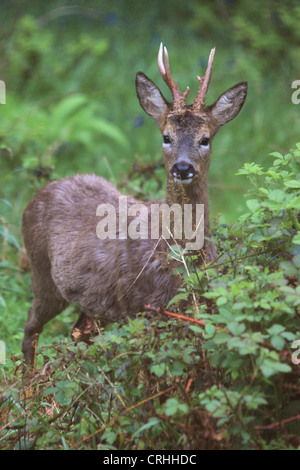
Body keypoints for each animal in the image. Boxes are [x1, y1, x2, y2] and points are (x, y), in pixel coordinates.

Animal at [20, 44, 246, 364]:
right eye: (166, 137)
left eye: (205, 139)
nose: (182, 167)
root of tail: (39, 194)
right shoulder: (142, 307)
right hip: (43, 275)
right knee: (30, 328)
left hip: (90, 304)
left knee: (75, 334)